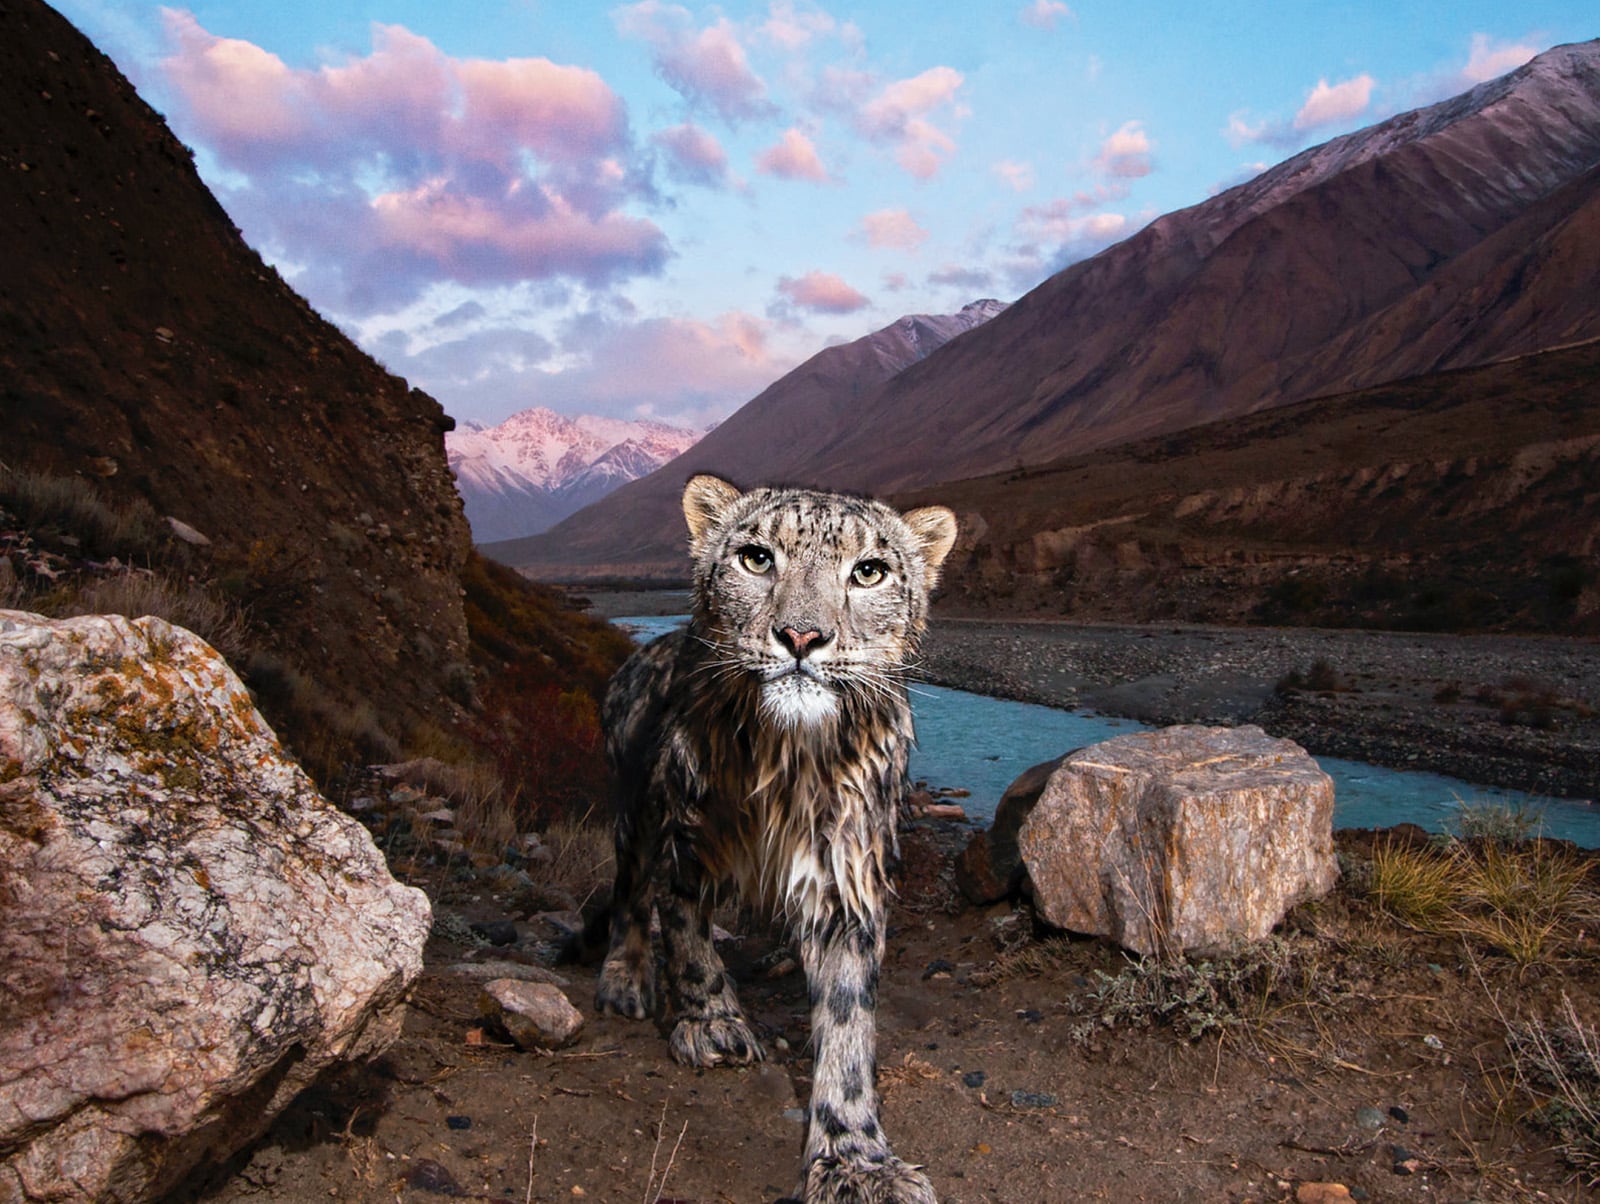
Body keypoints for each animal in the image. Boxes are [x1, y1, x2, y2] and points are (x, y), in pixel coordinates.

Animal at [598, 473, 947, 1197]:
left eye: (869, 570)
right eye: (756, 557)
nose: (801, 635)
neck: (787, 766)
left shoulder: (846, 877)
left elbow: (847, 1019)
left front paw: (856, 1157)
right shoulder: (683, 840)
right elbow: (687, 933)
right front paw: (714, 1025)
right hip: (634, 812)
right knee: (629, 894)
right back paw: (625, 978)